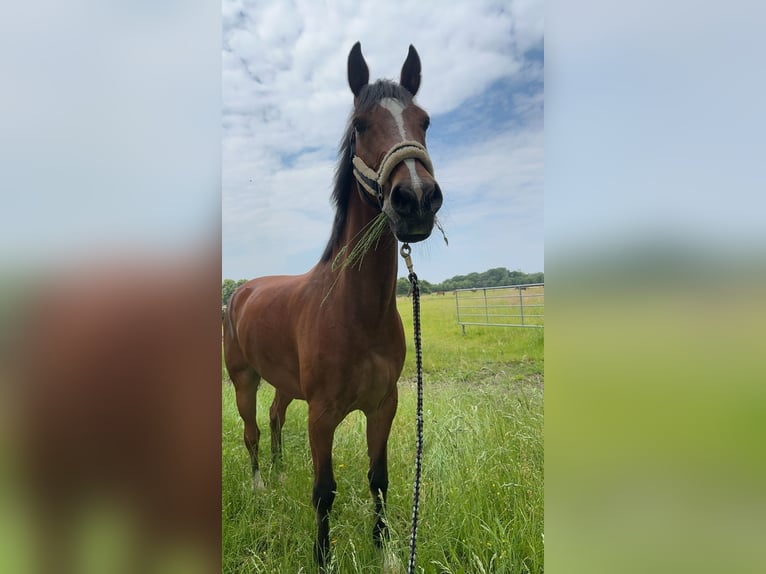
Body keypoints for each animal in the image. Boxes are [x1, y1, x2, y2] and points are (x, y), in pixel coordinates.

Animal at [224, 42, 444, 568]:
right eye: (360, 124)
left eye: (424, 121)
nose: (416, 198)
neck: (355, 311)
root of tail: (240, 291)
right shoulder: (322, 415)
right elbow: (324, 491)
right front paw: (322, 556)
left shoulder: (384, 406)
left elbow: (379, 480)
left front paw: (385, 549)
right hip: (243, 380)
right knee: (252, 432)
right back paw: (261, 486)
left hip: (284, 384)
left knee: (275, 417)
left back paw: (280, 472)